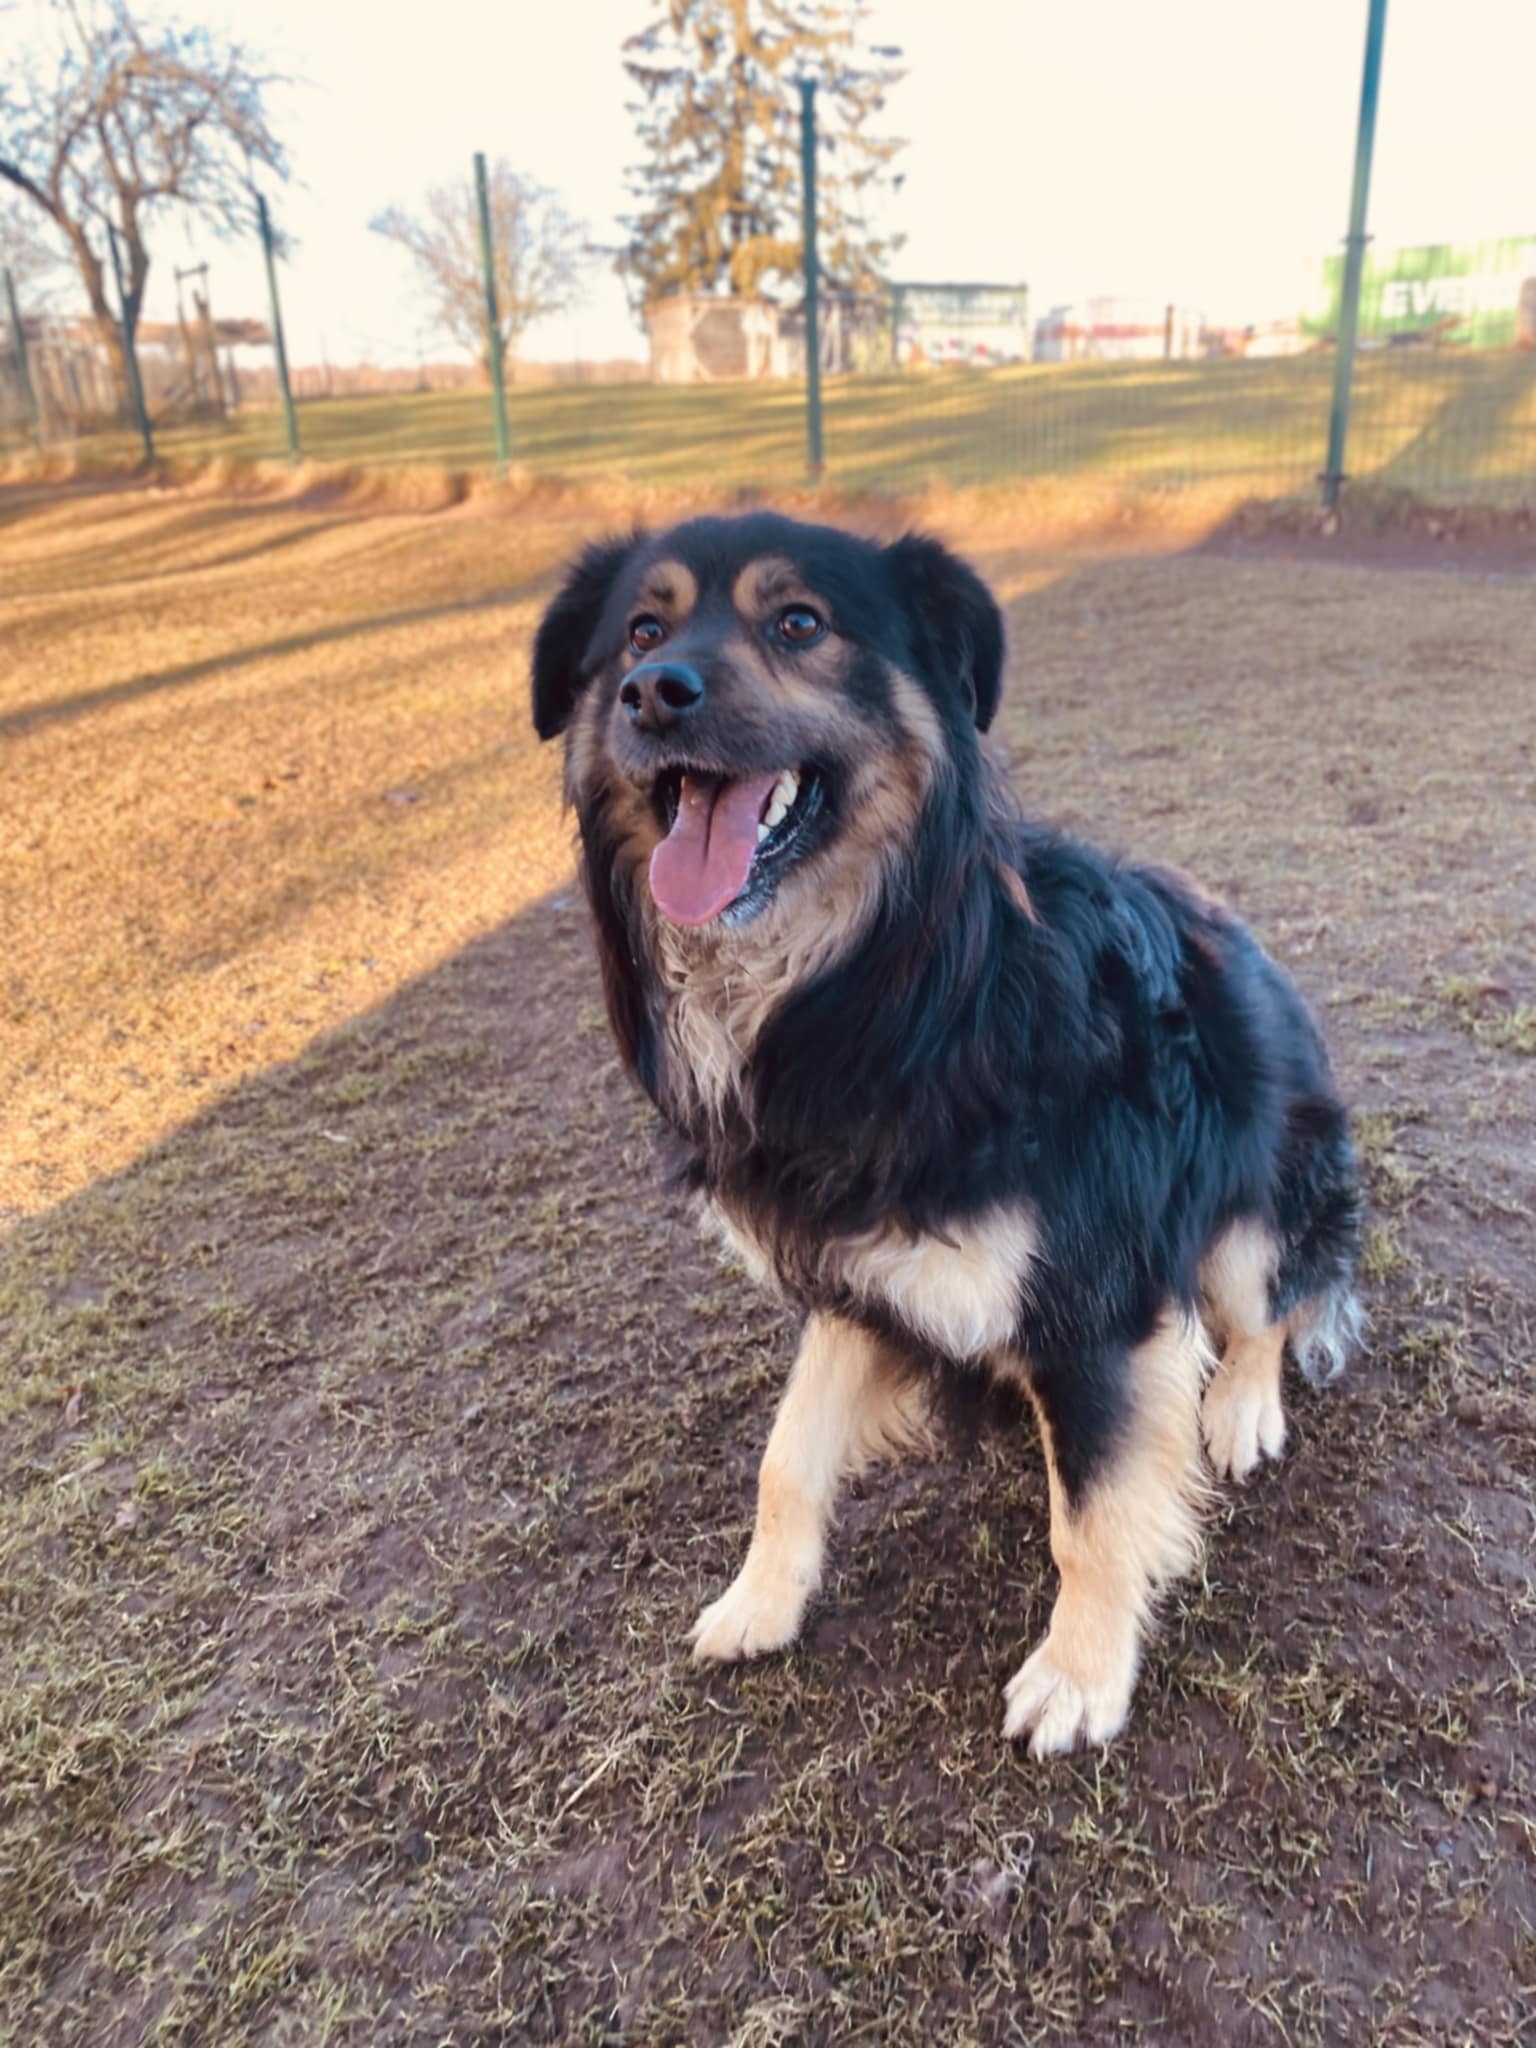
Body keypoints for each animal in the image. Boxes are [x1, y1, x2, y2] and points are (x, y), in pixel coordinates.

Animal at [530, 512, 1362, 1756]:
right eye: (639, 629)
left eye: (799, 622)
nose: (652, 692)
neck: (890, 993)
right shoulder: (852, 1269)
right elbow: (787, 1454)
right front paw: (760, 1599)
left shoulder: (1101, 1293)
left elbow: (1093, 1514)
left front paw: (1079, 1672)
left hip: (1263, 1175)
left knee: (1268, 1303)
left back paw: (1241, 1407)